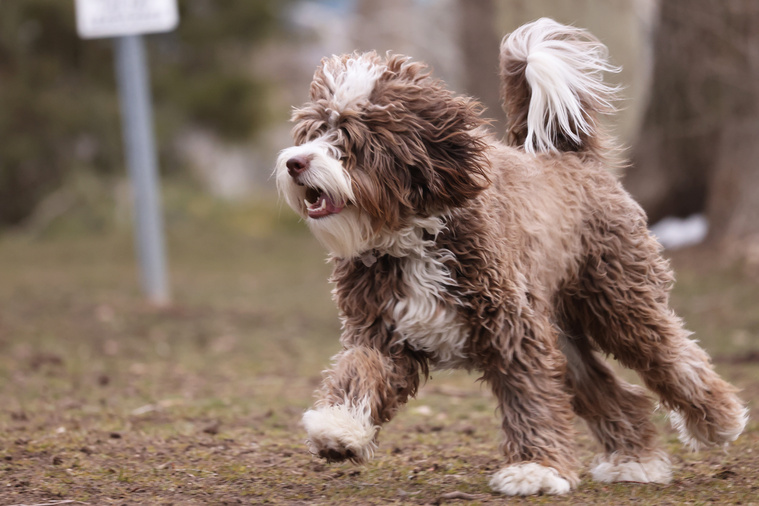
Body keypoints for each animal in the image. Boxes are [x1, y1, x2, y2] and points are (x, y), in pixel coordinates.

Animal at [274, 18, 748, 494]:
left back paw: (718, 421)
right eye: (313, 131)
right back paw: (635, 459)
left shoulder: (512, 329)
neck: (410, 237)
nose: (295, 163)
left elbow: (530, 395)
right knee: (610, 389)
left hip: (617, 300)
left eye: (351, 138)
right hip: (561, 329)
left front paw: (535, 468)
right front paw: (337, 426)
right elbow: (359, 369)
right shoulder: (381, 330)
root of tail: (575, 160)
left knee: (673, 355)